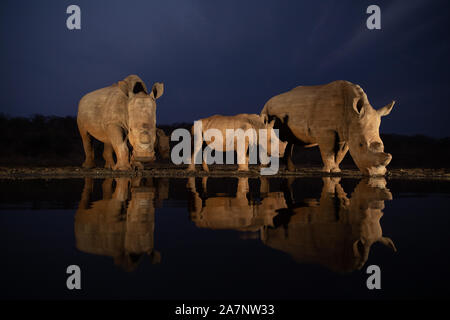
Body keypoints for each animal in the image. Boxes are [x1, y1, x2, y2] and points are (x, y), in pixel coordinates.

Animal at [260, 80, 394, 175]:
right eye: (361, 145)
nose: (377, 175)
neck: (351, 114)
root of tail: (267, 102)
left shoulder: (345, 132)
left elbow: (340, 153)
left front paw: (336, 170)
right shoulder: (325, 130)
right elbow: (328, 150)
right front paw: (328, 171)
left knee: (289, 141)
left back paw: (292, 170)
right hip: (266, 112)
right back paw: (266, 169)